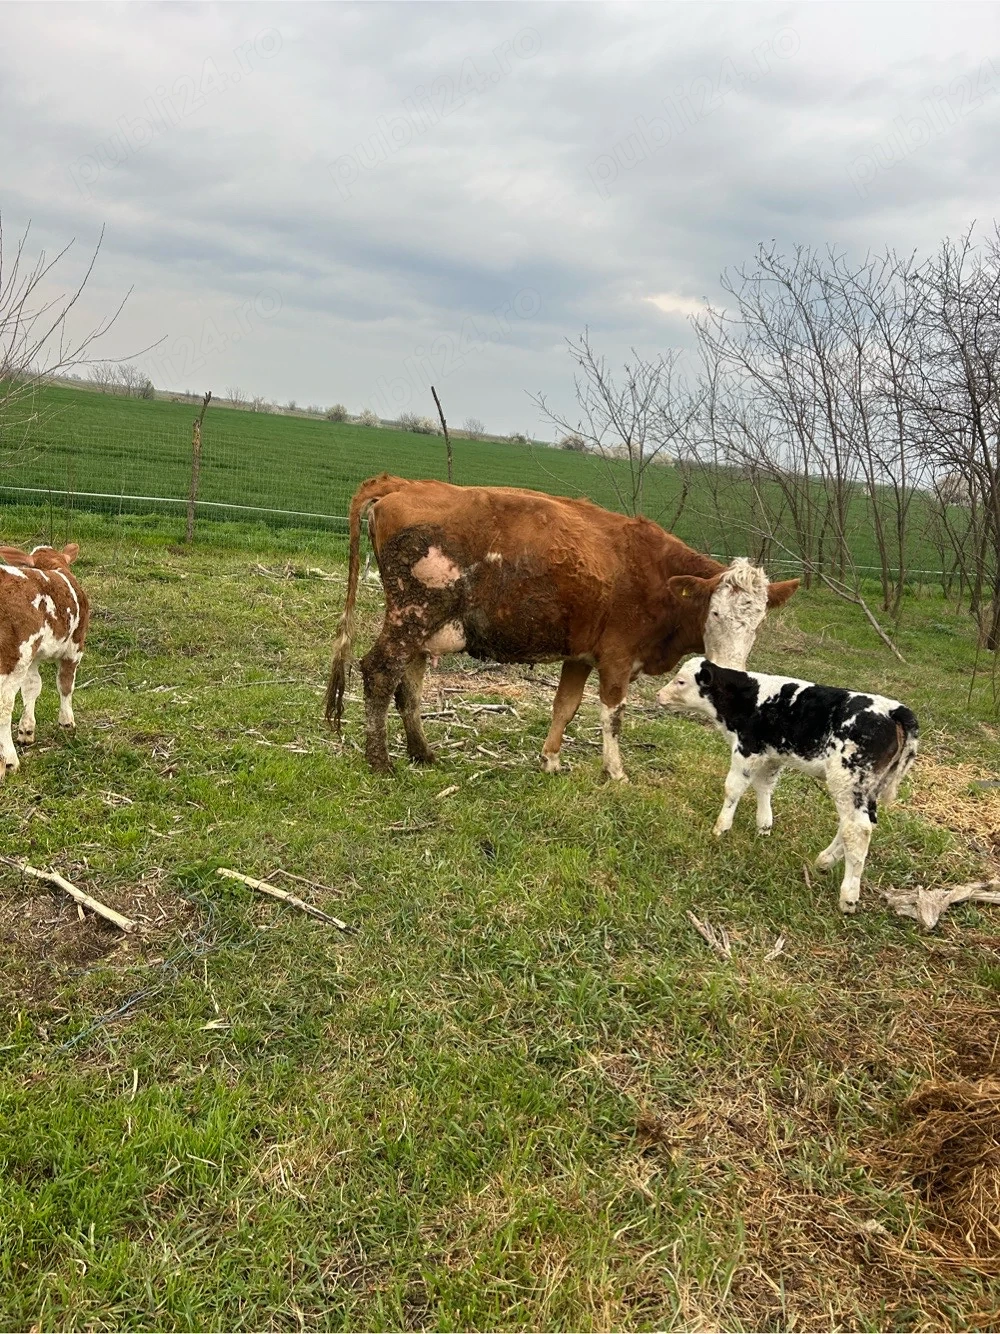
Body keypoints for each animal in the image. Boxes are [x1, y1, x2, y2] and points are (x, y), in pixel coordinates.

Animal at [0, 543, 89, 778]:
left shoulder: (33, 658)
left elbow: (32, 688)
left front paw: (26, 729)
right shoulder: (75, 647)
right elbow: (66, 684)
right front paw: (67, 722)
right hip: (13, 660)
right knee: (4, 706)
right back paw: (9, 761)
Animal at [324, 475, 799, 777]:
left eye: (758, 622)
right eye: (714, 613)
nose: (732, 671)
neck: (657, 575)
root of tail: (404, 483)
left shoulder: (581, 654)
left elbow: (565, 707)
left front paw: (550, 761)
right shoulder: (617, 658)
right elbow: (612, 716)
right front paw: (616, 773)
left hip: (424, 628)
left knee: (409, 686)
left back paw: (422, 754)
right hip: (413, 613)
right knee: (380, 672)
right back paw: (381, 762)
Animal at [657, 657, 919, 913]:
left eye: (681, 681)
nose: (659, 695)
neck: (747, 697)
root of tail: (894, 709)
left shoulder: (746, 749)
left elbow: (733, 788)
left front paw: (721, 828)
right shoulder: (772, 756)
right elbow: (764, 786)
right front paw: (764, 826)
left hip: (848, 778)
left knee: (857, 830)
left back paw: (848, 898)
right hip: (866, 787)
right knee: (856, 825)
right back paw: (824, 861)